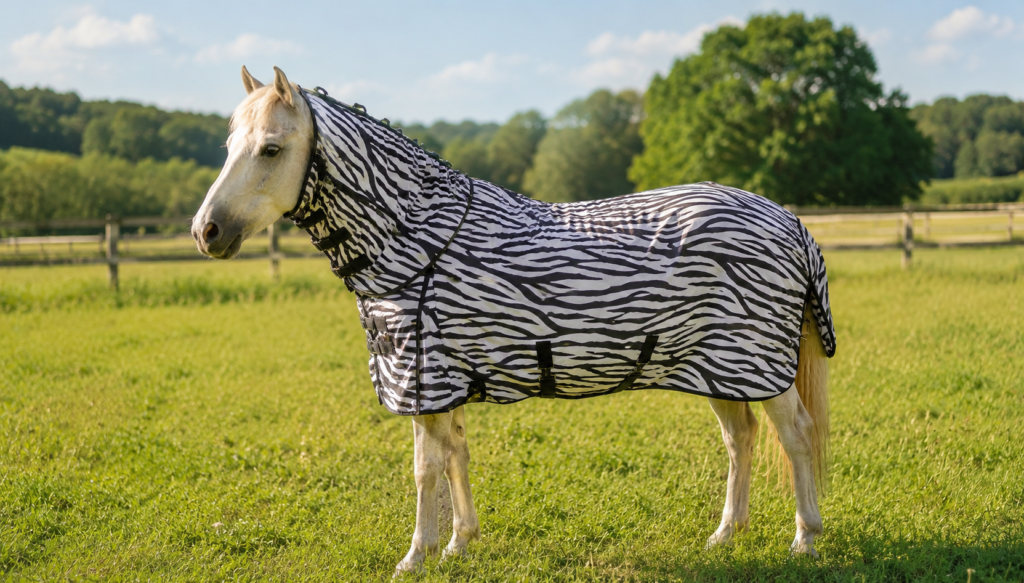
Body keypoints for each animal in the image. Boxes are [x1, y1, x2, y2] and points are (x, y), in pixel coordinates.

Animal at [192, 66, 835, 576]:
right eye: (228, 144)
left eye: (271, 149)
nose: (206, 232)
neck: (419, 241)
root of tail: (788, 220)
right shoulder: (446, 378)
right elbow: (455, 456)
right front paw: (459, 544)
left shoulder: (424, 380)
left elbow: (425, 469)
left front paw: (416, 555)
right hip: (720, 370)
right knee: (740, 438)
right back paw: (726, 534)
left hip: (756, 363)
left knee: (796, 436)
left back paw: (805, 538)